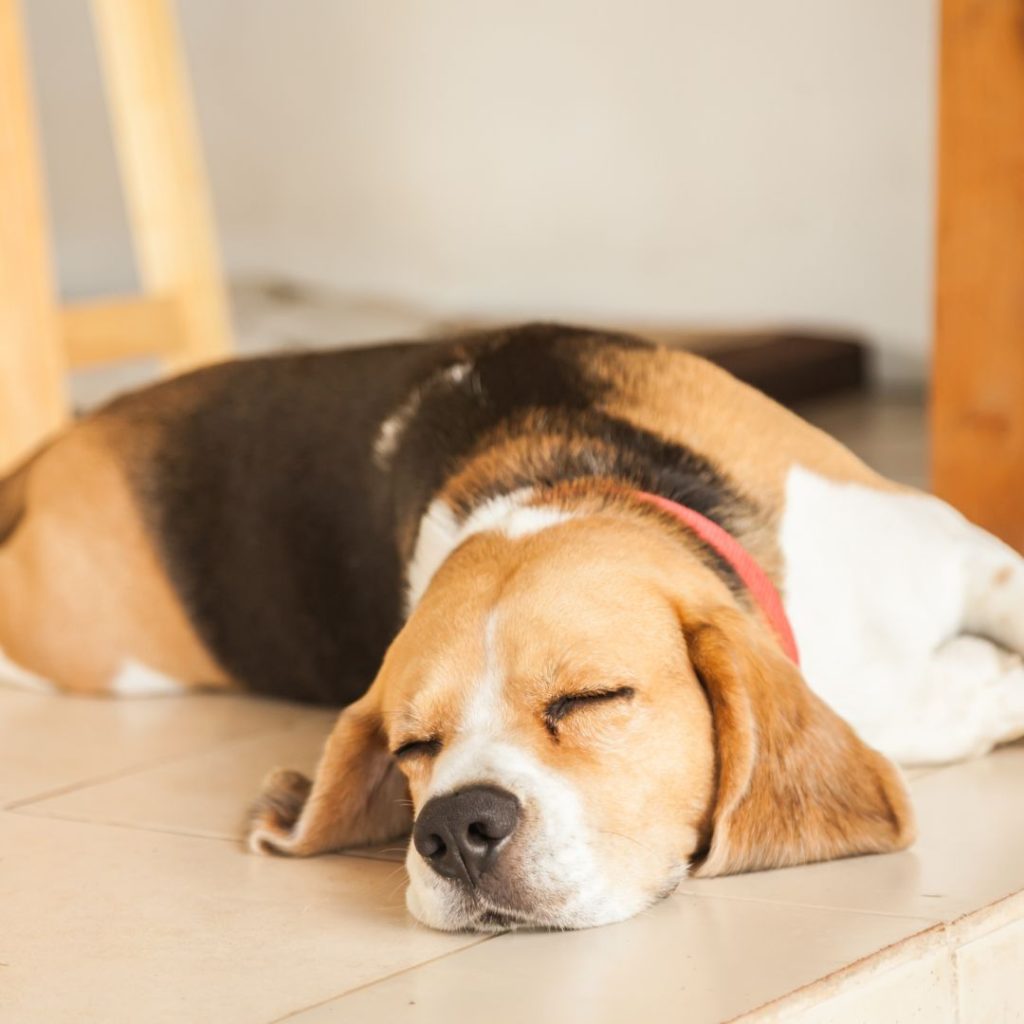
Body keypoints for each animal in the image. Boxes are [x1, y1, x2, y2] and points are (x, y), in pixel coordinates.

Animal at [2, 323, 1024, 933]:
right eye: (412, 746)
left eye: (592, 697)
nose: (456, 830)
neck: (570, 479)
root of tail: (64, 444)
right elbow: (963, 695)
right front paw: (983, 680)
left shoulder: (963, 555)